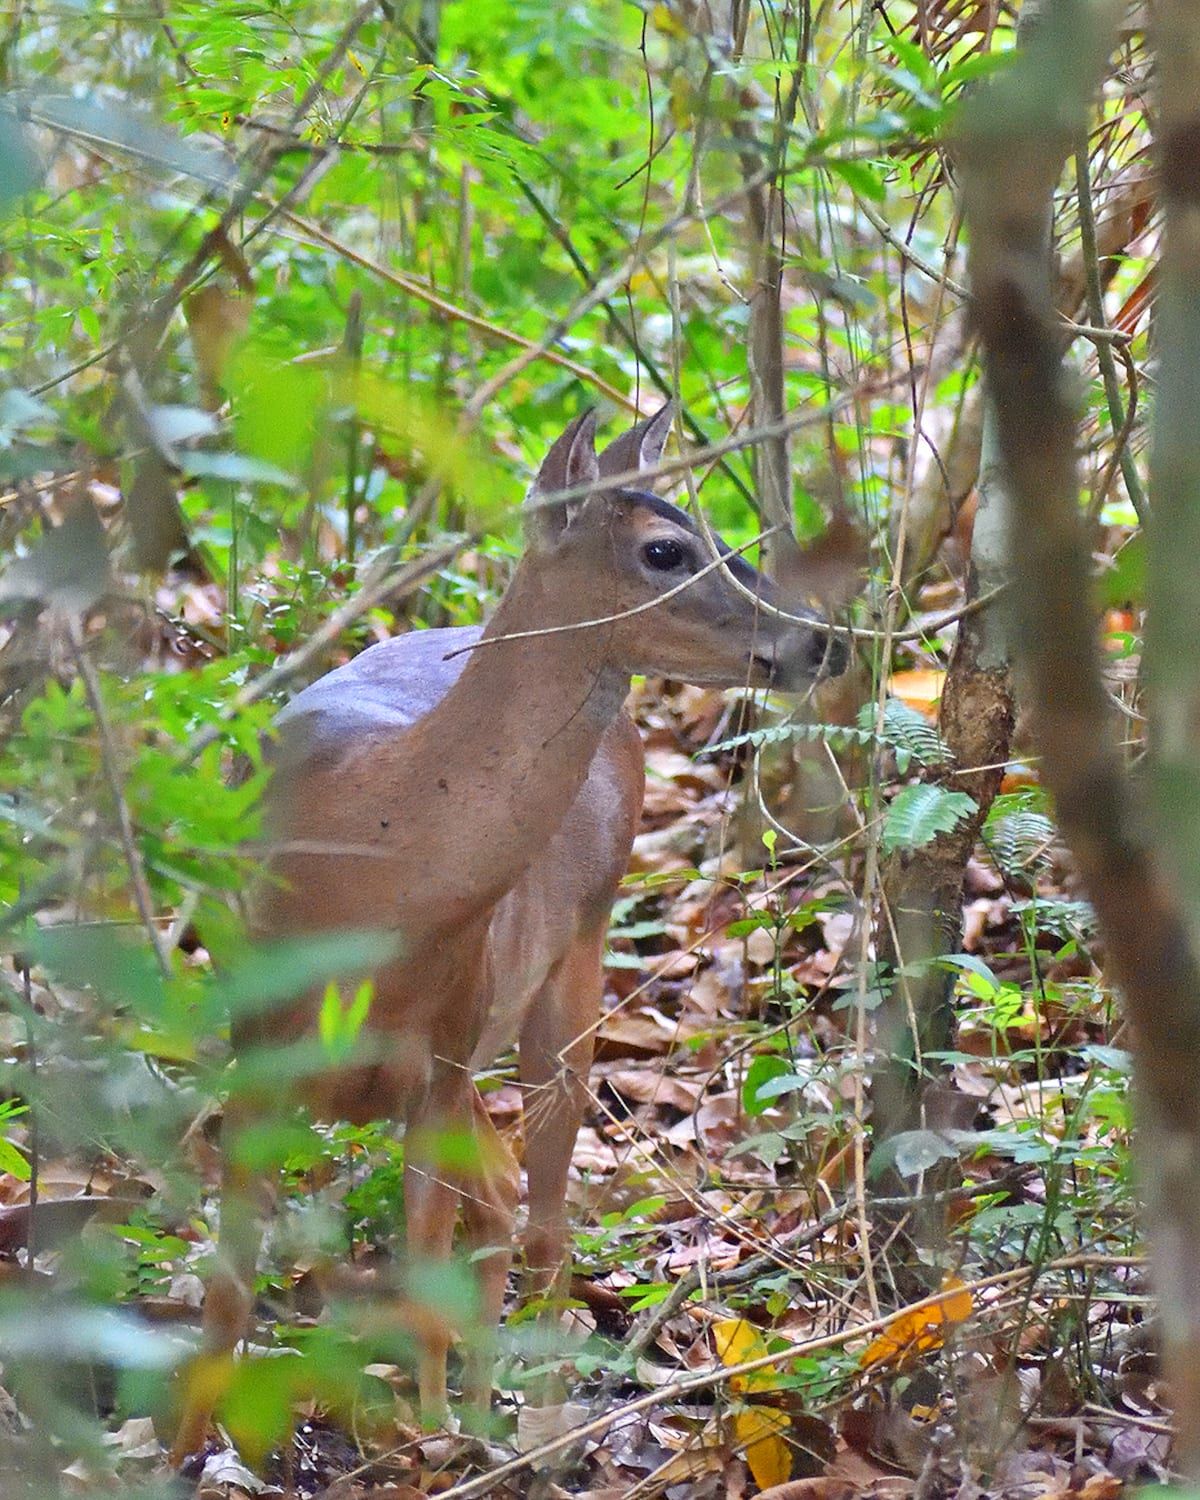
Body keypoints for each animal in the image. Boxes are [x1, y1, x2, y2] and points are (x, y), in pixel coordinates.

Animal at [171, 404, 846, 1461]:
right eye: (667, 548)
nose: (825, 641)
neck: (367, 876)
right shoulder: (259, 1056)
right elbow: (231, 1294)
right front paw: (179, 1455)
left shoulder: (442, 1057)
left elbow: (425, 1276)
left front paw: (433, 1447)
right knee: (499, 1202)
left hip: (573, 956)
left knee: (541, 1220)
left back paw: (531, 1423)